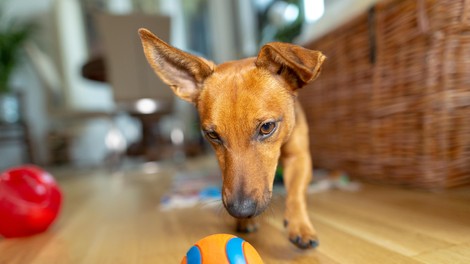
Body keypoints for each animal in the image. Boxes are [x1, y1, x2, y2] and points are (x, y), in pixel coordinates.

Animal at [138, 29, 324, 250]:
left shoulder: (299, 157)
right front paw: (245, 222)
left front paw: (300, 225)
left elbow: (296, 193)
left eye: (267, 127)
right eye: (212, 135)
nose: (240, 211)